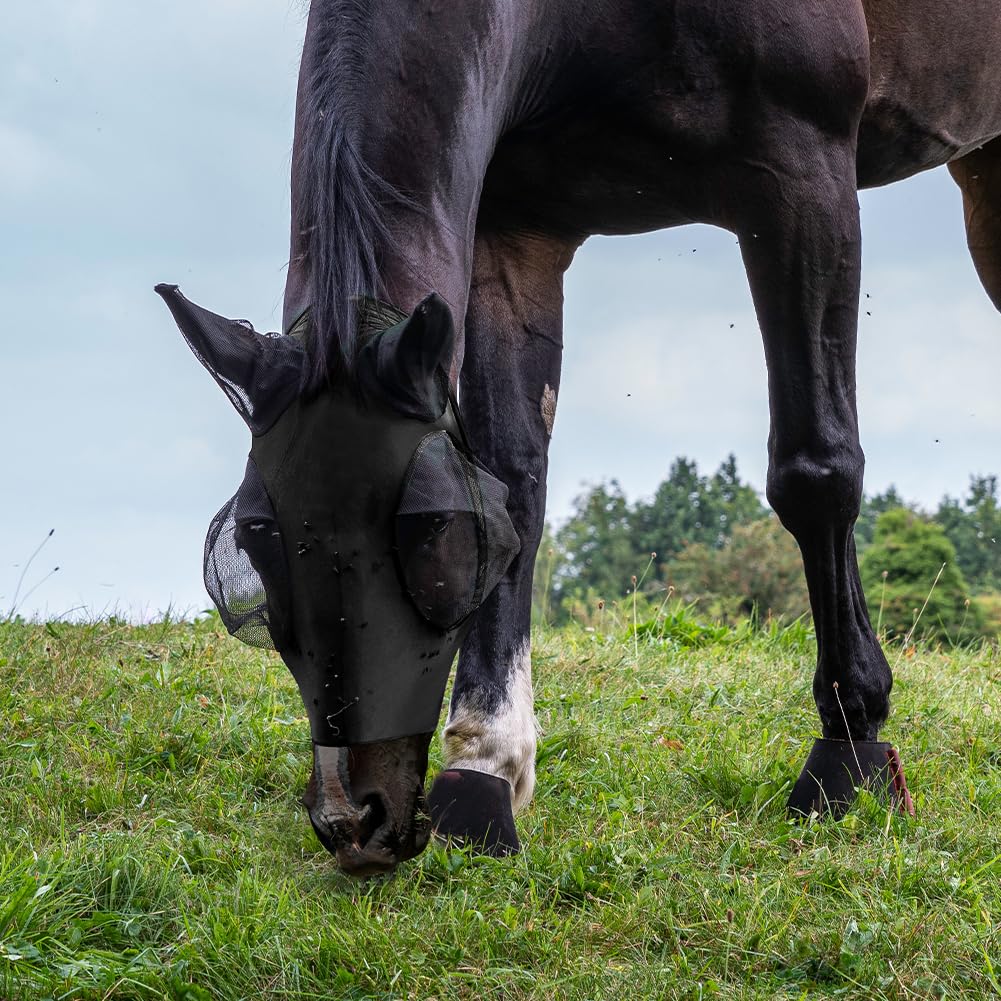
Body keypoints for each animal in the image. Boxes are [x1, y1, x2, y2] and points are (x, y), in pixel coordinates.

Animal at [158, 0, 1001, 875]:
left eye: (428, 529)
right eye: (257, 533)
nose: (353, 816)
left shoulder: (803, 178)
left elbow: (815, 468)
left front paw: (849, 744)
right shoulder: (513, 230)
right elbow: (514, 478)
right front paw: (485, 765)